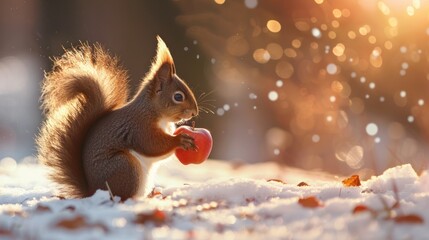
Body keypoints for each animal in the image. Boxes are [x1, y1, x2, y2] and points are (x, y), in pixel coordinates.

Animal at [36, 36, 198, 200]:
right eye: (178, 97)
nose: (194, 113)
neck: (154, 112)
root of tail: (93, 191)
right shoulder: (140, 126)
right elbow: (152, 144)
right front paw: (180, 140)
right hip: (125, 167)